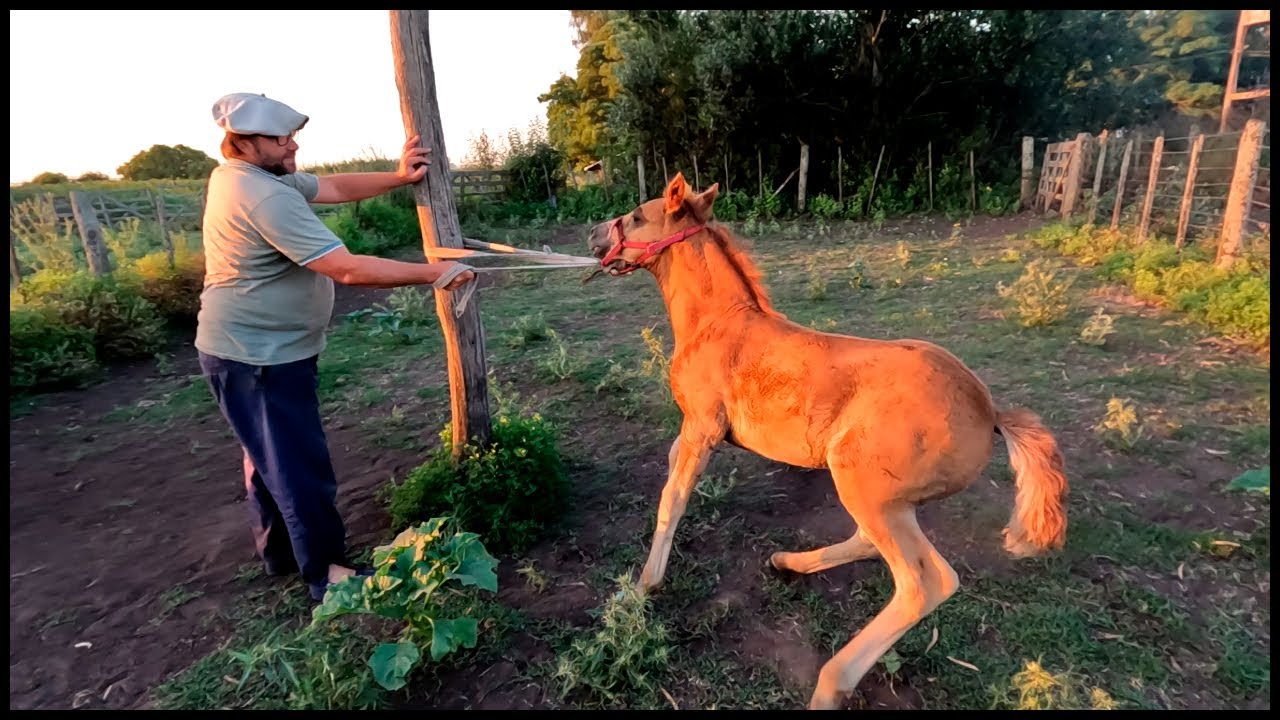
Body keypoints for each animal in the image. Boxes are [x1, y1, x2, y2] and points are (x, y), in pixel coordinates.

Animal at [586, 172, 1069, 710]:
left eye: (634, 216)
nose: (594, 237)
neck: (716, 326)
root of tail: (991, 413)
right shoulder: (690, 428)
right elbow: (671, 474)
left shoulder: (703, 427)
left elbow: (673, 499)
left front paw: (642, 586)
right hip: (883, 495)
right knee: (868, 542)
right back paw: (787, 562)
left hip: (863, 482)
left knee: (923, 582)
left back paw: (830, 683)